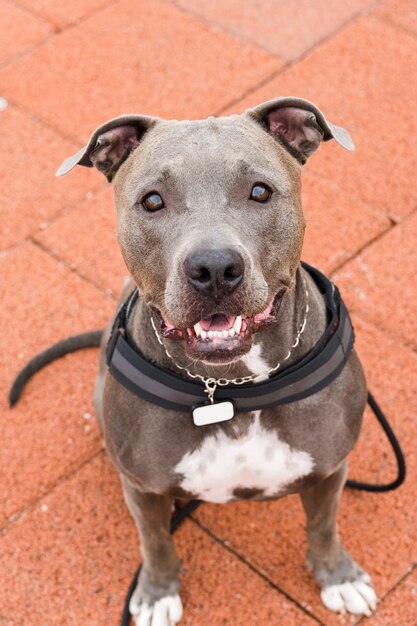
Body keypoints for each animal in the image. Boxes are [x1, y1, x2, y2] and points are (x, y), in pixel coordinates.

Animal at [13, 97, 376, 624]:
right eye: (152, 201)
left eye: (260, 192)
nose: (215, 267)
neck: (231, 389)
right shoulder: (143, 488)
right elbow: (155, 541)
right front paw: (156, 592)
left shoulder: (329, 469)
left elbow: (324, 526)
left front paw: (338, 577)